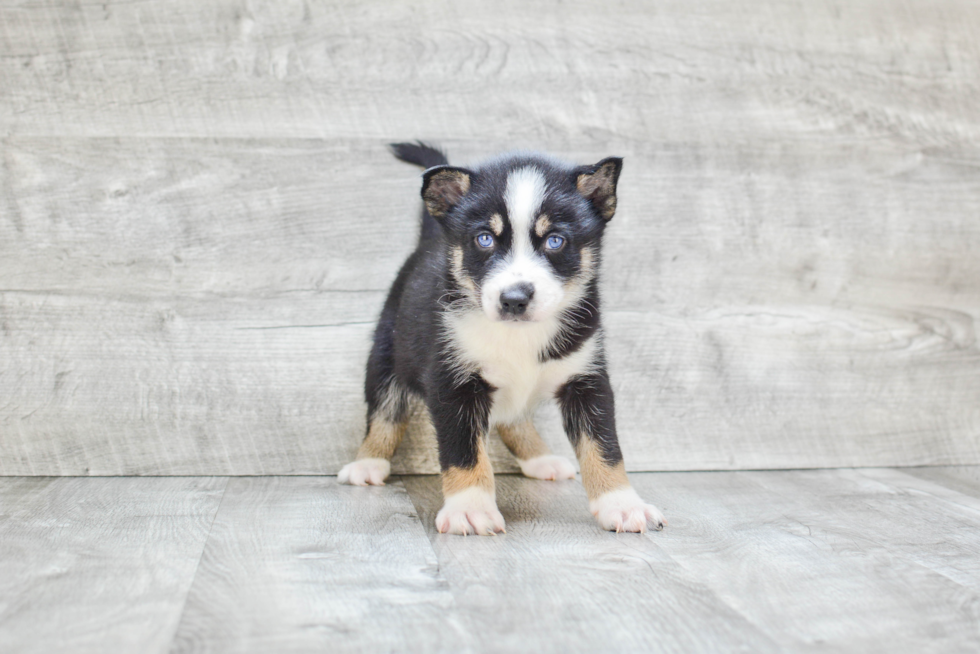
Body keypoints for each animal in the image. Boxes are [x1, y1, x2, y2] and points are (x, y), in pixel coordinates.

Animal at [338, 144, 668, 540]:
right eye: (485, 239)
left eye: (555, 240)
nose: (514, 299)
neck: (519, 335)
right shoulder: (452, 383)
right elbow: (464, 450)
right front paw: (469, 508)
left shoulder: (587, 379)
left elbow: (604, 445)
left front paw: (622, 504)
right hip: (387, 353)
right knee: (385, 413)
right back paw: (367, 463)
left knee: (514, 419)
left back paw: (540, 459)